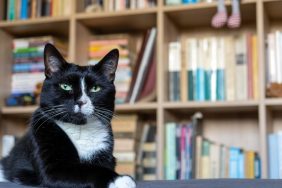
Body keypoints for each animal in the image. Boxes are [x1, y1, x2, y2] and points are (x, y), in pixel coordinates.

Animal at [0, 43, 137, 188]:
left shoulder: (105, 153)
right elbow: (86, 169)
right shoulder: (51, 164)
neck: (80, 128)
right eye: (65, 86)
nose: (81, 101)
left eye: (95, 88)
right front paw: (121, 179)